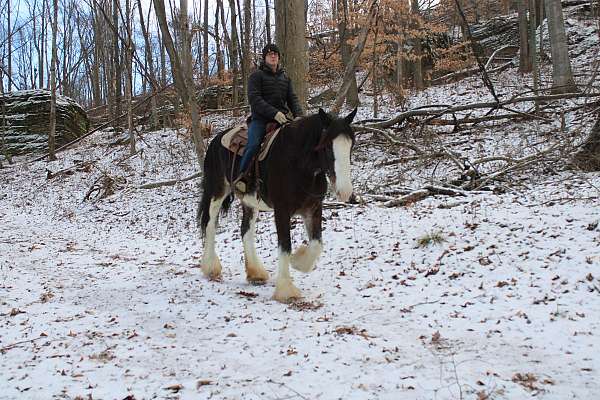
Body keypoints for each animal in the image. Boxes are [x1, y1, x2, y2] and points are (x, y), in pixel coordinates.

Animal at [199, 108, 356, 302]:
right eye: (326, 146)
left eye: (351, 145)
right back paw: (211, 268)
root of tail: (216, 140)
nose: (345, 192)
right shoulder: (282, 210)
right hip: (217, 191)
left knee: (245, 230)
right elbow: (285, 245)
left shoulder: (313, 208)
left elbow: (317, 244)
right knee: (210, 224)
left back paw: (256, 274)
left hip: (250, 201)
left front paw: (298, 261)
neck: (297, 163)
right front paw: (286, 290)